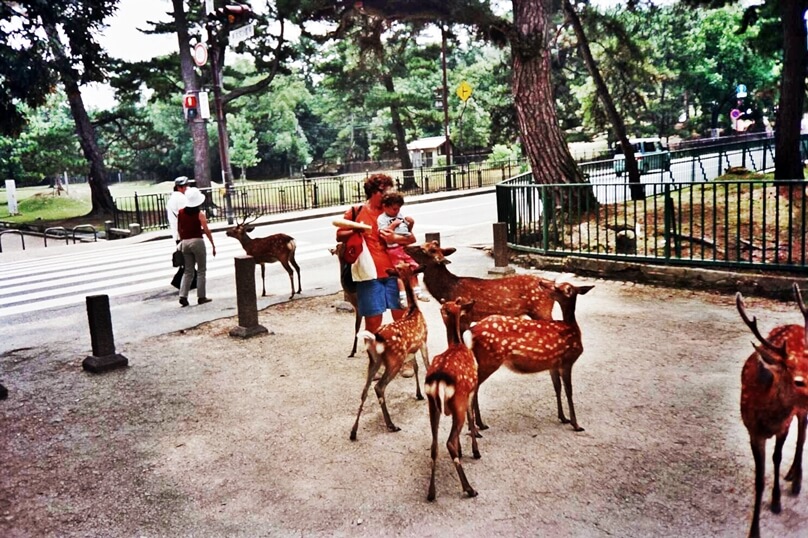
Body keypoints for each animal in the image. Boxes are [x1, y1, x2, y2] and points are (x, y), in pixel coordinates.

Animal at [350, 260, 432, 440]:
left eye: (399, 266)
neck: (414, 309)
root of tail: (375, 339)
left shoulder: (410, 350)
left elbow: (416, 367)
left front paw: (419, 394)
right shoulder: (423, 340)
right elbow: (426, 365)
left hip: (374, 361)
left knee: (364, 390)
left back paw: (353, 432)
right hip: (394, 359)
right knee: (379, 387)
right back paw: (391, 425)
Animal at [422, 296, 480, 500]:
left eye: (449, 306)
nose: (442, 303)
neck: (457, 343)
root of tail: (439, 380)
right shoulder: (471, 391)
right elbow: (472, 418)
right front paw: (475, 451)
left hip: (432, 404)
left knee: (434, 445)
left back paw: (431, 493)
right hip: (458, 402)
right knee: (448, 442)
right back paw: (469, 489)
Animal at [468, 276, 592, 432]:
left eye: (557, 287)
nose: (542, 283)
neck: (573, 329)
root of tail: (472, 331)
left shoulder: (553, 364)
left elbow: (557, 388)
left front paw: (563, 418)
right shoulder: (567, 360)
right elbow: (569, 391)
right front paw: (576, 424)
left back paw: (478, 424)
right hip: (490, 359)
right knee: (473, 387)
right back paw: (476, 427)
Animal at [740, 282, 808, 532]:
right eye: (798, 381)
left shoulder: (783, 426)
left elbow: (777, 457)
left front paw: (777, 502)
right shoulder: (752, 431)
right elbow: (759, 479)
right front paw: (754, 530)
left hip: (800, 412)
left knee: (802, 434)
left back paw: (796, 481)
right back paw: (791, 476)